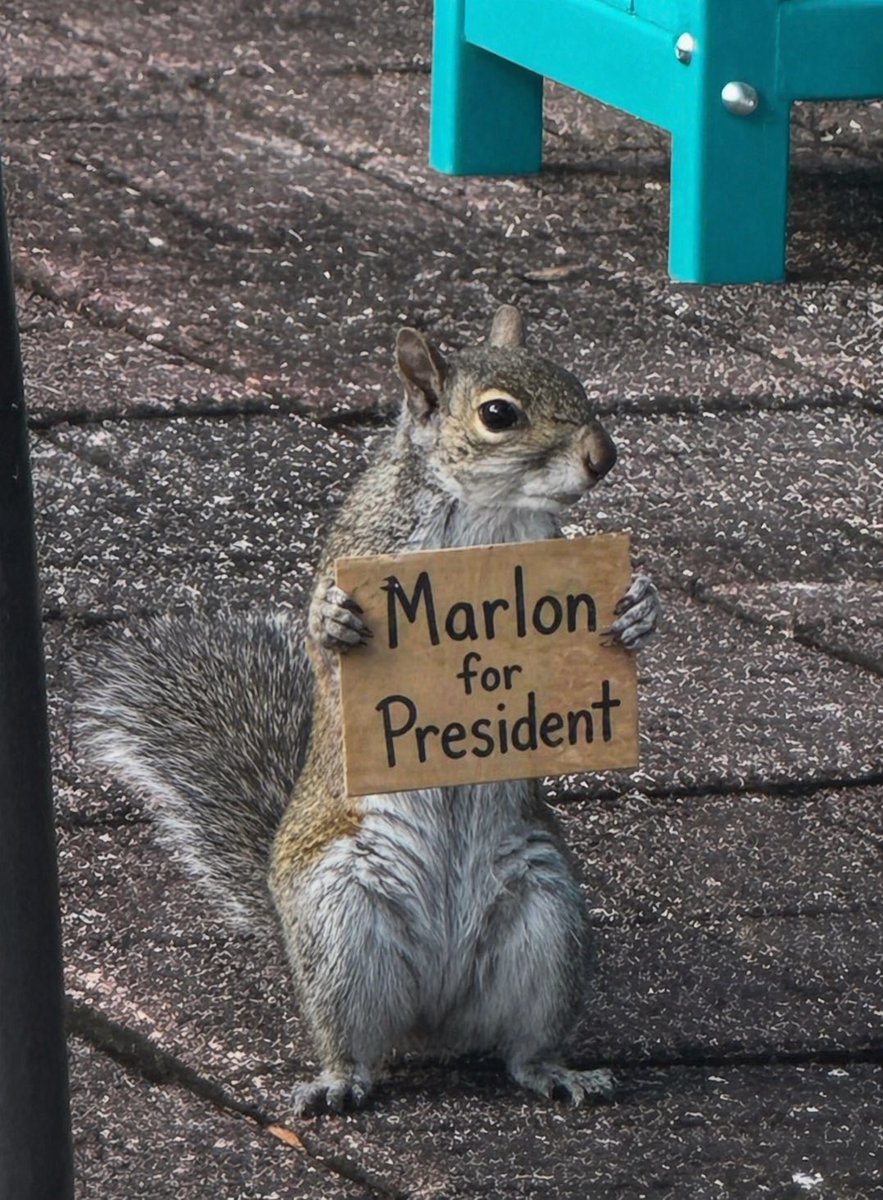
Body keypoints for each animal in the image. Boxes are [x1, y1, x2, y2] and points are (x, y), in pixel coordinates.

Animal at [82, 305, 661, 1116]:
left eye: (574, 379)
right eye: (498, 415)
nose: (602, 456)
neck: (487, 514)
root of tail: (435, 1017)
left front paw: (637, 609)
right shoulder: (359, 547)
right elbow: (323, 647)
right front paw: (333, 622)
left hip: (547, 918)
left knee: (524, 1047)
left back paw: (557, 1072)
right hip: (339, 924)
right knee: (353, 1041)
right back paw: (338, 1082)